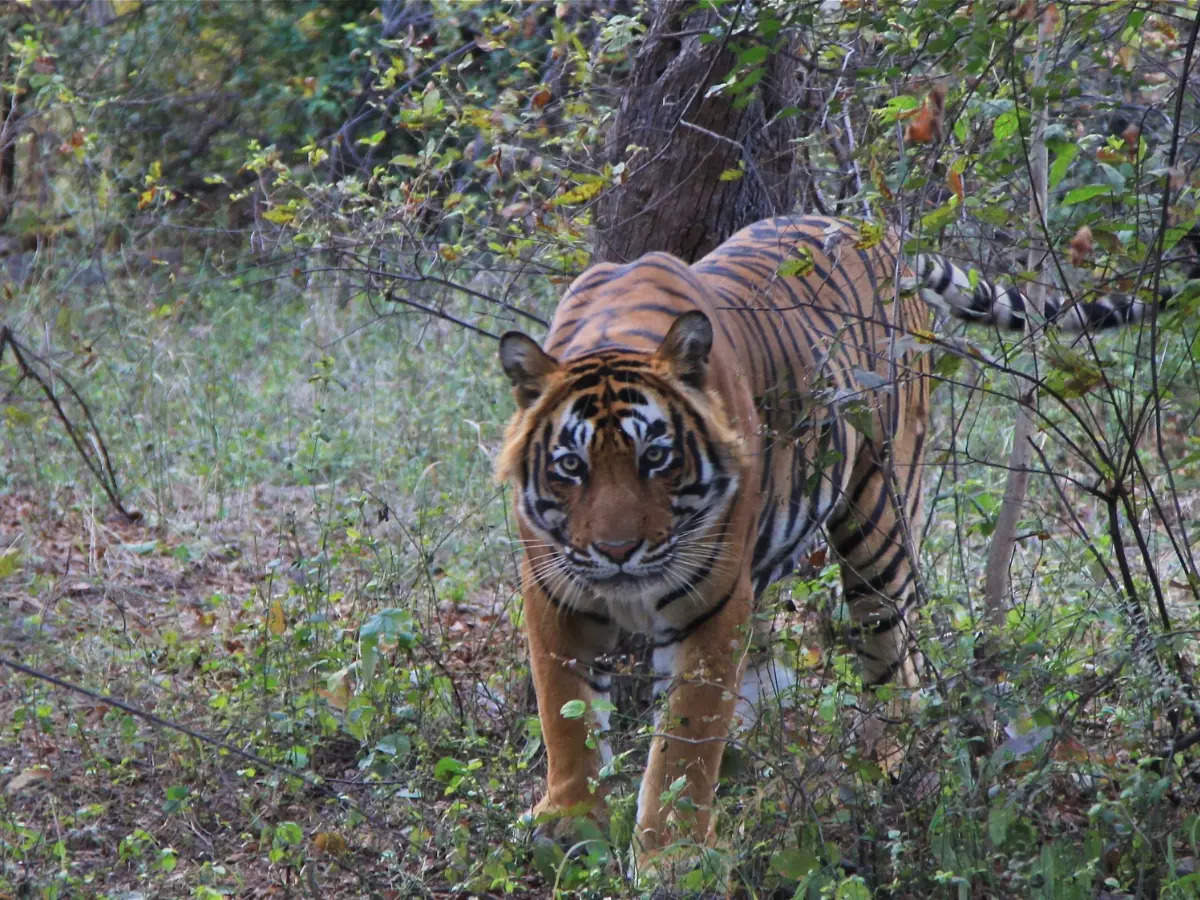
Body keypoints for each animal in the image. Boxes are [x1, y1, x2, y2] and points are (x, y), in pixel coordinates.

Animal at [492, 214, 1156, 868]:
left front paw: (670, 853)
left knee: (894, 662)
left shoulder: (710, 599)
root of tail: (873, 225)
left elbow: (685, 735)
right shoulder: (554, 589)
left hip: (879, 520)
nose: (617, 553)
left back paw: (882, 772)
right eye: (572, 466)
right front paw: (569, 823)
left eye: (655, 457)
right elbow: (565, 712)